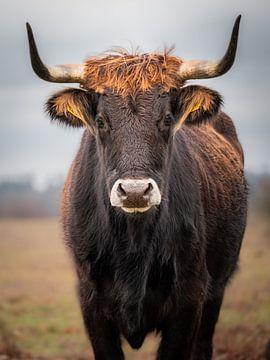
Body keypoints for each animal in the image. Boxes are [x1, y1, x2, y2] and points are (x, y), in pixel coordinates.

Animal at [26, 16, 247, 360]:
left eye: (167, 118)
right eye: (101, 121)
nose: (133, 191)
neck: (133, 242)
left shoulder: (190, 300)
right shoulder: (92, 303)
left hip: (216, 292)